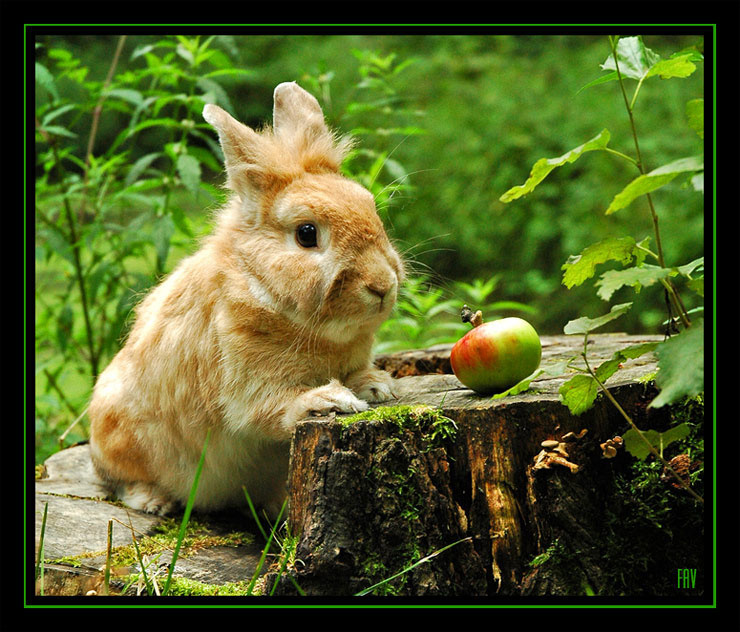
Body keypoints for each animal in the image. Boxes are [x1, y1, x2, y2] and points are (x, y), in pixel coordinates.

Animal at [87, 82, 404, 518]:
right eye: (307, 234)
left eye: (370, 207)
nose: (382, 285)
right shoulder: (243, 383)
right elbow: (268, 409)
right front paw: (330, 401)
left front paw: (377, 387)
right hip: (118, 433)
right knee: (118, 479)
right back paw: (153, 501)